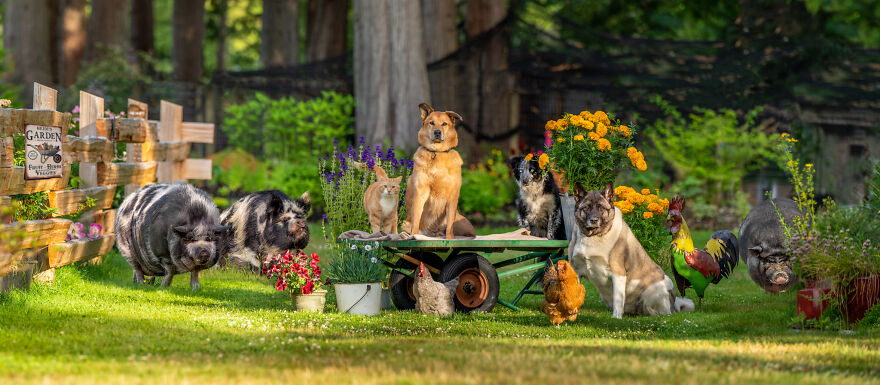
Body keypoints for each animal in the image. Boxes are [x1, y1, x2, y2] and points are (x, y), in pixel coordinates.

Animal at [404, 103, 478, 238]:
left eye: (444, 124)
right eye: (431, 123)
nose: (437, 132)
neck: (437, 152)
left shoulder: (453, 196)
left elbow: (449, 226)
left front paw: (450, 238)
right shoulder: (420, 193)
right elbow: (416, 220)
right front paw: (414, 236)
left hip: (465, 225)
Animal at [568, 183, 696, 318]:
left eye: (601, 208)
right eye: (586, 208)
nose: (593, 220)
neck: (593, 236)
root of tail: (674, 304)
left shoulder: (618, 272)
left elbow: (618, 299)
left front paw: (616, 318)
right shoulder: (575, 271)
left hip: (656, 289)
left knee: (661, 312)